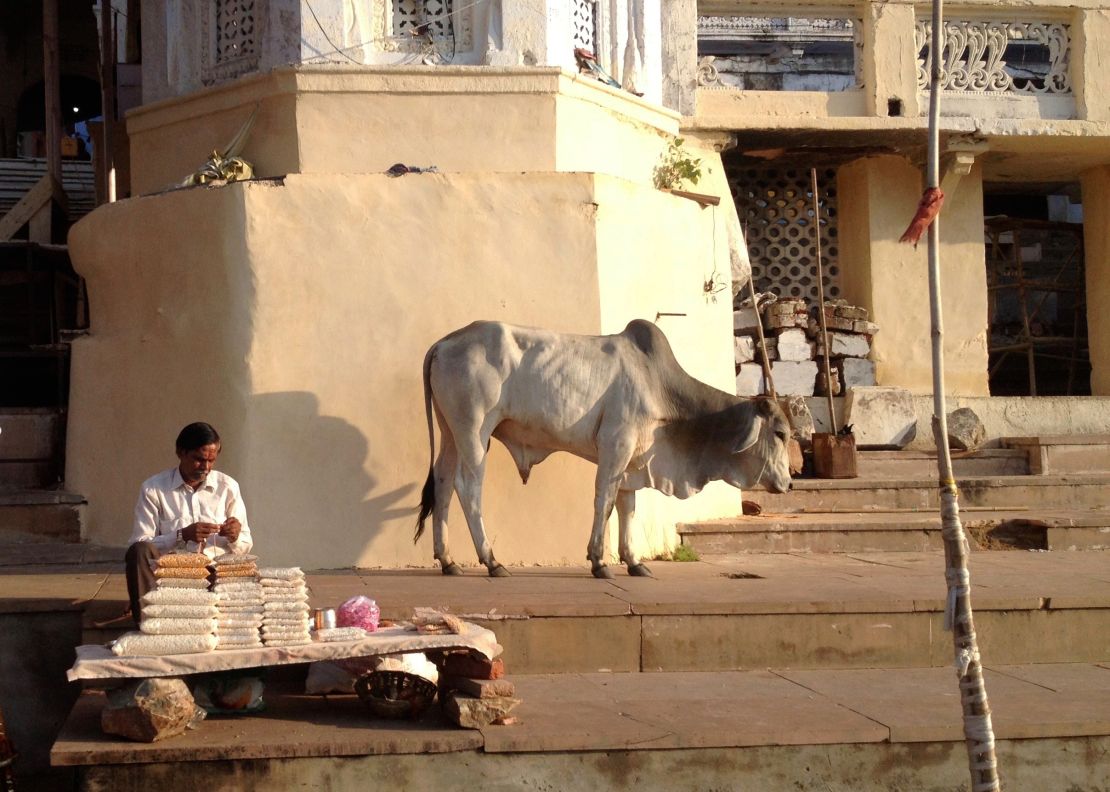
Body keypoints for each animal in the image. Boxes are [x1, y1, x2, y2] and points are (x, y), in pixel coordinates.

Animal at [415, 317, 790, 576]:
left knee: (443, 483)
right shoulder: (616, 445)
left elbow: (628, 506)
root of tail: (445, 342)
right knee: (468, 487)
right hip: (474, 431)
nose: (788, 483)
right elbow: (605, 501)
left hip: (450, 432)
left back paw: (447, 561)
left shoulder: (633, 459)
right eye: (781, 433)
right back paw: (491, 561)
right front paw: (599, 562)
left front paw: (633, 561)